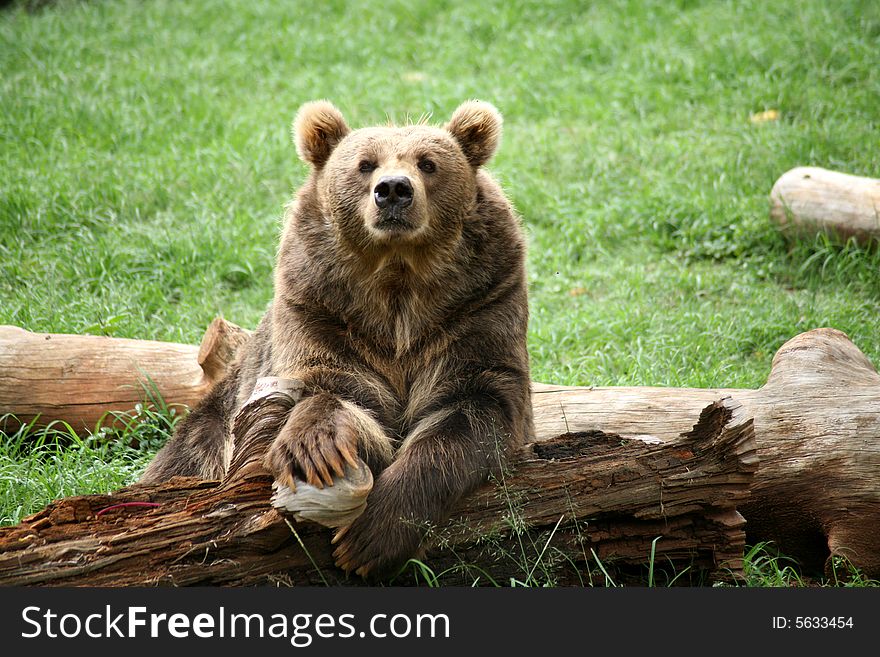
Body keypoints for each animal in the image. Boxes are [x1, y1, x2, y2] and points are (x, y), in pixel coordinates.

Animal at [141, 100, 532, 576]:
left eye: (428, 163)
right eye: (365, 165)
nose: (394, 190)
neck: (398, 288)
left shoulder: (479, 306)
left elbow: (471, 408)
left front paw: (369, 538)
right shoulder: (322, 309)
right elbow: (335, 389)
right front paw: (316, 447)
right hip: (210, 428)